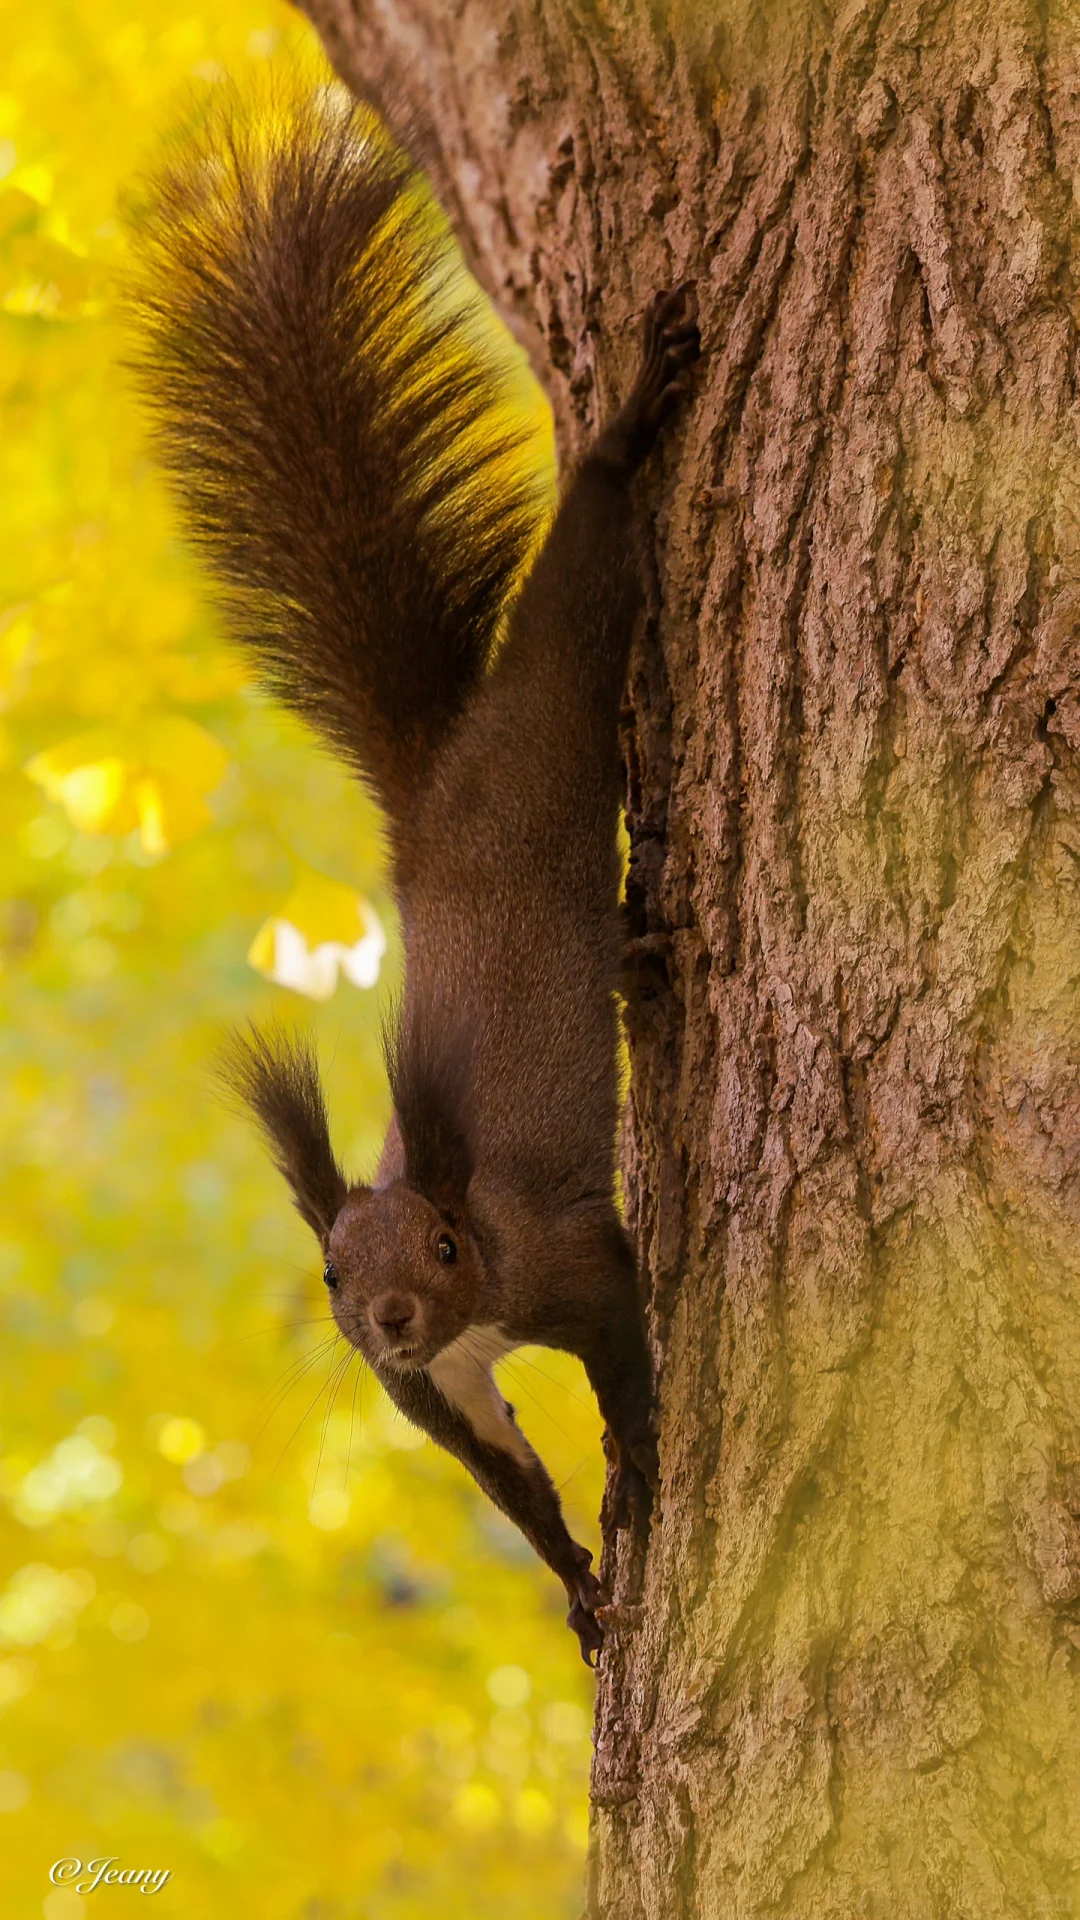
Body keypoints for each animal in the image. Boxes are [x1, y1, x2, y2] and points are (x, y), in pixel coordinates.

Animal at [127, 82, 699, 1658]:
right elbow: (511, 1482)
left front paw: (640, 1474)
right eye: (331, 1274)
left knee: (583, 580)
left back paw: (628, 427)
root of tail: (435, 789)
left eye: (441, 1251)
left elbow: (627, 1357)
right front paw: (581, 1582)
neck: (475, 1300)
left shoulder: (565, 1264)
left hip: (553, 715)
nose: (382, 1323)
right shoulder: (437, 1397)